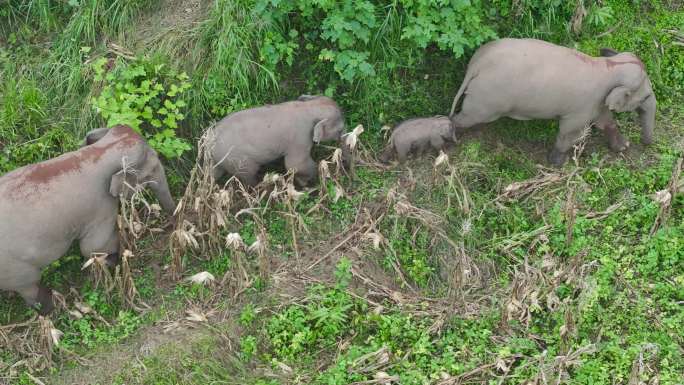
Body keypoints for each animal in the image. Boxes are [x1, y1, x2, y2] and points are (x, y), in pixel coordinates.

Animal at [0, 124, 176, 314]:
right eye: (153, 169)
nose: (173, 225)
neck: (100, 151)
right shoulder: (100, 207)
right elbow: (93, 247)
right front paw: (115, 261)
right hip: (13, 268)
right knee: (30, 287)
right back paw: (54, 308)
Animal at [448, 38, 656, 166]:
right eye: (645, 97)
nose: (646, 144)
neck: (608, 67)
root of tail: (475, 65)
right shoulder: (582, 107)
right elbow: (569, 131)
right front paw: (558, 163)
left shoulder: (597, 102)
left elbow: (605, 121)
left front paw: (623, 147)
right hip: (485, 99)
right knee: (464, 118)